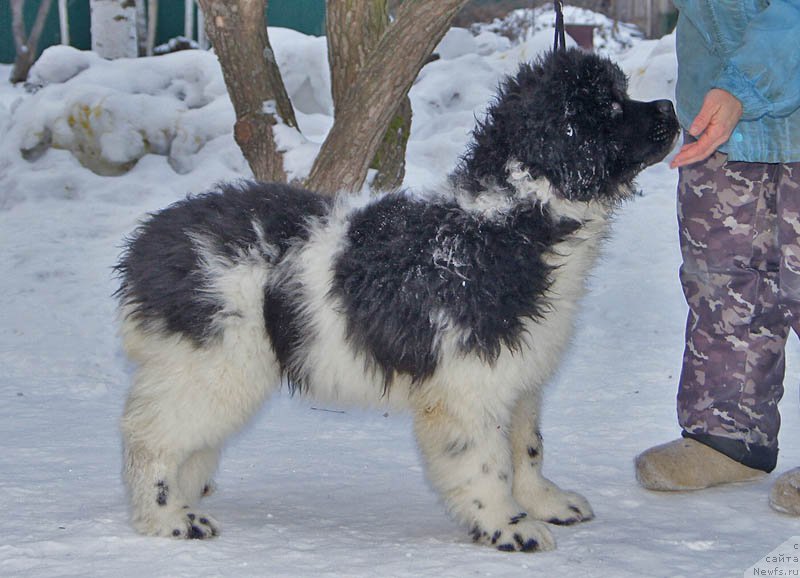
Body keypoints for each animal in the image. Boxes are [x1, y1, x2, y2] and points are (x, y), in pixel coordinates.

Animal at [117, 48, 680, 548]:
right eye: (609, 107)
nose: (671, 109)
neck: (511, 223)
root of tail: (149, 241)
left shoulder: (520, 377)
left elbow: (527, 447)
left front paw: (545, 503)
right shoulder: (467, 385)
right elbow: (487, 461)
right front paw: (508, 527)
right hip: (213, 363)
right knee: (151, 438)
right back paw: (168, 518)